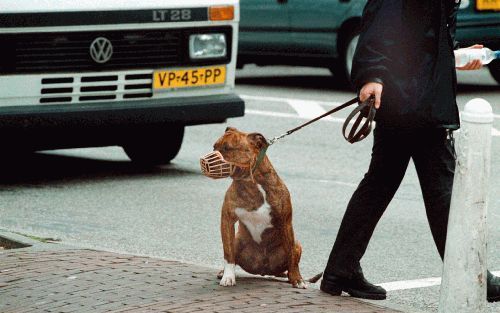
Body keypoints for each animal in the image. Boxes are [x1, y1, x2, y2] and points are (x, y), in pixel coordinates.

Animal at [208, 127, 308, 288]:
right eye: (214, 147)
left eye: (227, 148)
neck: (250, 183)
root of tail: (263, 270)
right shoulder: (227, 219)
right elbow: (228, 253)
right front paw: (228, 277)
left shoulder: (286, 222)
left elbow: (292, 256)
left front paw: (297, 279)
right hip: (237, 241)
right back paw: (222, 272)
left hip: (297, 244)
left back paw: (288, 276)